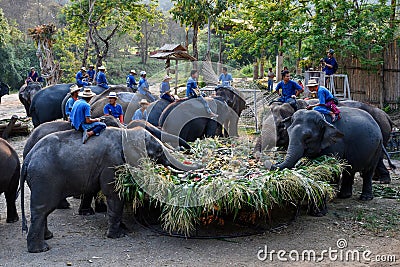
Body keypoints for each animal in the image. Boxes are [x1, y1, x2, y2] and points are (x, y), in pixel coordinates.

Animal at [21, 126, 199, 252]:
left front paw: (123, 228)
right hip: (44, 178)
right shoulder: (112, 163)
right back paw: (41, 249)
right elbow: (114, 194)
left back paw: (48, 238)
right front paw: (118, 235)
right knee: (42, 209)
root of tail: (28, 158)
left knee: (43, 210)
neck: (126, 132)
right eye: (159, 151)